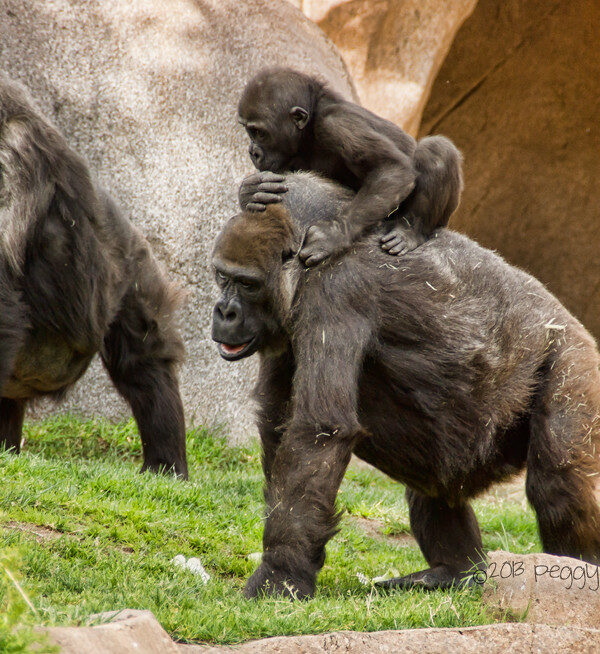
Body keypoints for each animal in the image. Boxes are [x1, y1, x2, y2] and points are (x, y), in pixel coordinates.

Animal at [212, 171, 600, 599]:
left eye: (247, 285)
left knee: (558, 482)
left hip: (575, 357)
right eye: (221, 277)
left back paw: (578, 570)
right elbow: (278, 423)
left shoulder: (337, 290)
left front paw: (280, 573)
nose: (225, 312)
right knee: (434, 477)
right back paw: (452, 572)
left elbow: (319, 430)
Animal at [237, 67, 463, 267]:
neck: (309, 127)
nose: (253, 152)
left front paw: (333, 235)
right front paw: (250, 190)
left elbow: (392, 168)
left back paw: (411, 231)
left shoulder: (337, 123)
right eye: (249, 131)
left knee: (436, 150)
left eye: (258, 132)